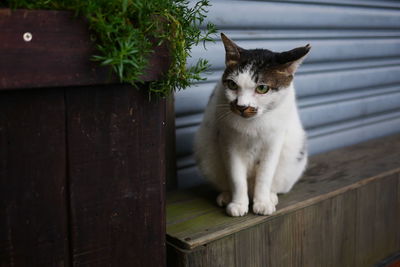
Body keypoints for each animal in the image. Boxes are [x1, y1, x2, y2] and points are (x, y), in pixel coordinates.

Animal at [194, 33, 310, 218]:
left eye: (262, 88)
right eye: (232, 85)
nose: (241, 106)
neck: (253, 124)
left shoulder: (274, 142)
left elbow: (265, 175)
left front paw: (262, 203)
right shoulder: (228, 141)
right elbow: (236, 177)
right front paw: (238, 204)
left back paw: (271, 196)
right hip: (207, 154)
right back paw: (226, 196)